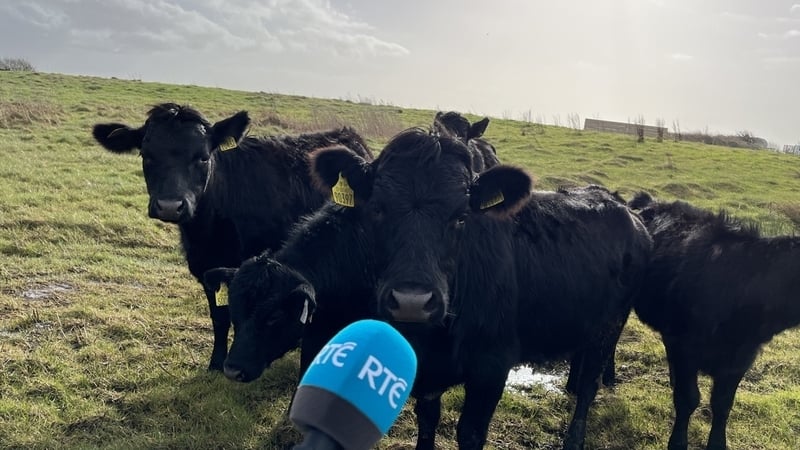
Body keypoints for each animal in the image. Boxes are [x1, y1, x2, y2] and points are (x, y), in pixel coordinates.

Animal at [91, 103, 373, 371]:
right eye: (147, 155)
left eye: (203, 157)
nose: (170, 206)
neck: (209, 234)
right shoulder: (208, 271)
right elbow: (220, 317)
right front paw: (216, 363)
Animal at [217, 127, 651, 450]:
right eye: (377, 209)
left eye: (461, 217)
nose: (232, 369)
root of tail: (624, 208)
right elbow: (428, 421)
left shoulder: (492, 367)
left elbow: (469, 434)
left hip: (607, 328)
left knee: (590, 385)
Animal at [628, 192, 800, 450]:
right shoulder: (685, 348)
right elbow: (688, 399)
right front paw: (677, 442)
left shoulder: (740, 358)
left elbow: (722, 404)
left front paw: (717, 443)